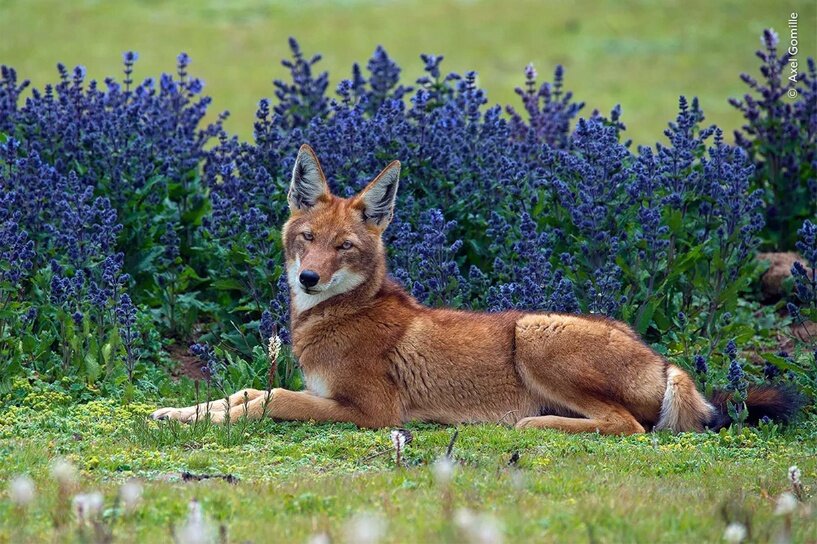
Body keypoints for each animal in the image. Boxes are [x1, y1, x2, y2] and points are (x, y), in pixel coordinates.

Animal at [151, 143, 796, 434]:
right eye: (306, 238)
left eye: (344, 247)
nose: (308, 278)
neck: (336, 316)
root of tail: (661, 360)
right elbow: (240, 393)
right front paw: (176, 412)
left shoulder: (375, 412)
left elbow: (269, 399)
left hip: (534, 333)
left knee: (626, 426)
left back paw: (534, 425)